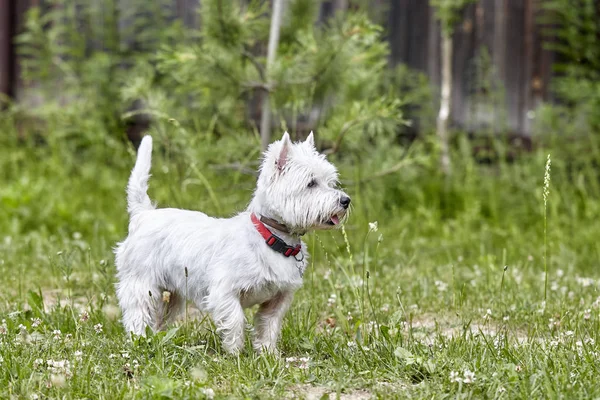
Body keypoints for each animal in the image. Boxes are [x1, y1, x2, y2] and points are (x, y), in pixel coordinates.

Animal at [114, 133, 350, 352]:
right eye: (311, 183)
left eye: (330, 182)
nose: (346, 200)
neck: (272, 239)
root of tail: (144, 214)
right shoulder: (224, 291)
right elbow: (236, 320)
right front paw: (235, 354)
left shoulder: (279, 297)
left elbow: (269, 325)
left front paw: (268, 354)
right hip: (141, 283)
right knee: (138, 312)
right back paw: (138, 342)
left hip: (174, 294)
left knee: (160, 318)